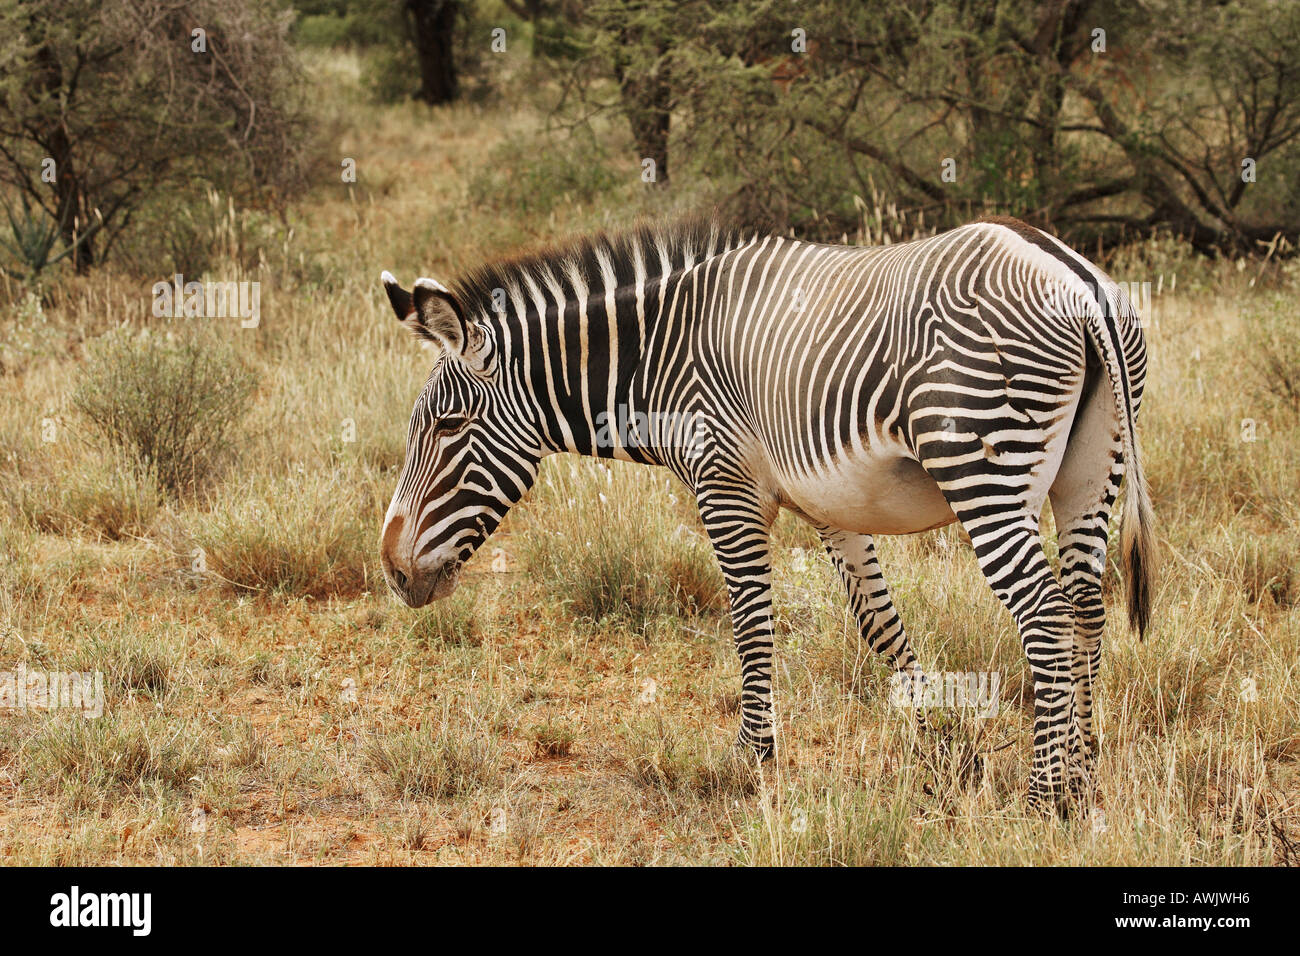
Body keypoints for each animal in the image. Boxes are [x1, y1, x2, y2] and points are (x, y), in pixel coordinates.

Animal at [378, 216, 1154, 810]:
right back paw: (1083, 771)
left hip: (983, 469)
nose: (392, 570)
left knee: (1045, 612)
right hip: (1091, 473)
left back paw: (1045, 796)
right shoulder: (832, 506)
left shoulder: (726, 486)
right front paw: (943, 745)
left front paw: (751, 757)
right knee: (1086, 606)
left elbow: (751, 622)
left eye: (447, 427)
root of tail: (1077, 281)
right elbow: (881, 627)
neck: (659, 355)